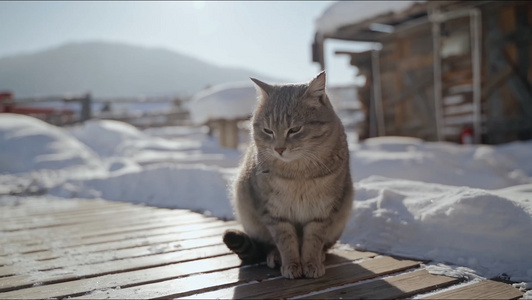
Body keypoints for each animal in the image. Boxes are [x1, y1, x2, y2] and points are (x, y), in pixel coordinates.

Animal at [221, 70, 354, 278]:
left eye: (295, 129)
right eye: (268, 130)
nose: (279, 149)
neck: (297, 173)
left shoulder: (322, 212)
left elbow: (313, 241)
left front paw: (311, 263)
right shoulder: (274, 213)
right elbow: (286, 241)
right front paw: (291, 264)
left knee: (324, 246)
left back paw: (320, 256)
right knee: (269, 245)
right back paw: (275, 256)